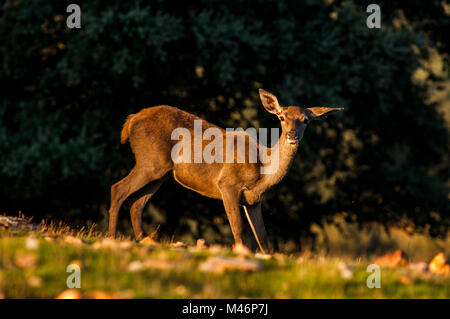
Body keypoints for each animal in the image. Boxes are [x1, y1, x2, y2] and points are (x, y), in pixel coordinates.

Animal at [108, 89, 342, 254]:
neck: (263, 171)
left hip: (161, 173)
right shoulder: (228, 185)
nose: (292, 135)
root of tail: (131, 120)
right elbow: (238, 231)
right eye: (282, 117)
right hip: (150, 162)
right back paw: (111, 238)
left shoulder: (254, 200)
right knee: (118, 189)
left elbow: (263, 239)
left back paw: (142, 241)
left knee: (136, 203)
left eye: (305, 120)